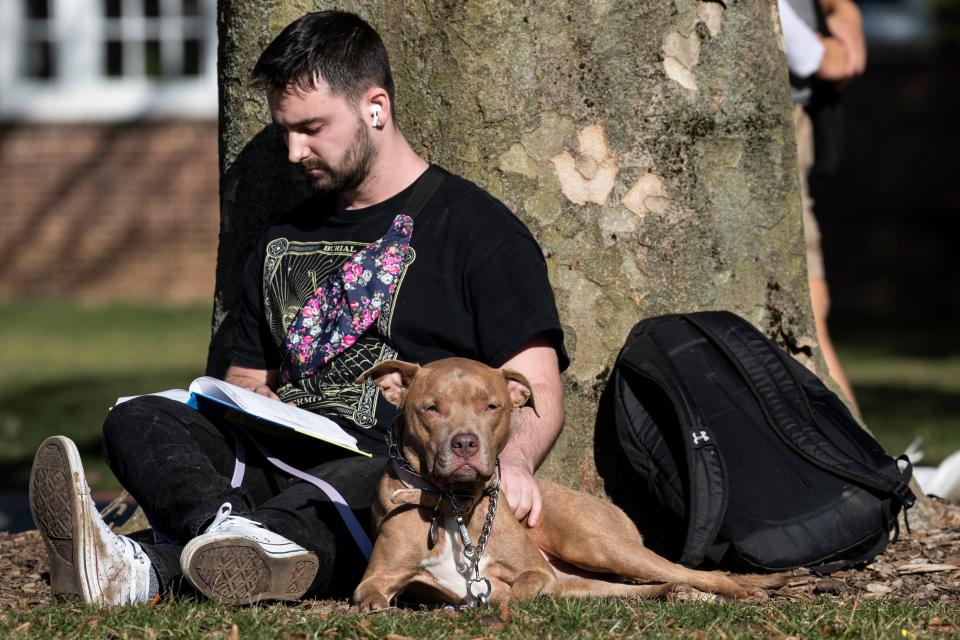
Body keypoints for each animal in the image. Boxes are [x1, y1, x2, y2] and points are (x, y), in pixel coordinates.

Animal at [352, 358, 780, 608]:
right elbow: (370, 594)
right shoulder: (378, 577)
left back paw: (747, 589)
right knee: (650, 586)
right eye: (431, 408)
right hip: (583, 579)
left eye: (491, 406)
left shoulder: (535, 572)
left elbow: (515, 589)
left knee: (700, 572)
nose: (465, 443)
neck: (452, 505)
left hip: (595, 546)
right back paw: (683, 595)